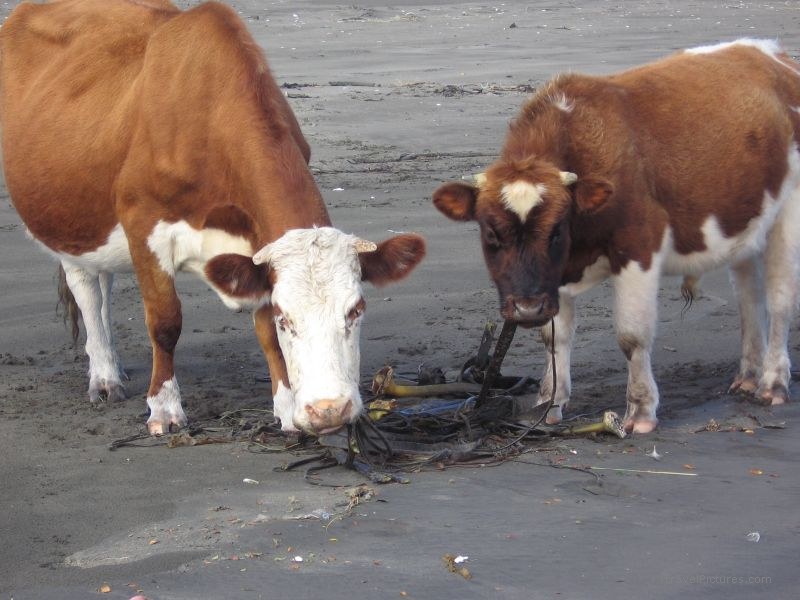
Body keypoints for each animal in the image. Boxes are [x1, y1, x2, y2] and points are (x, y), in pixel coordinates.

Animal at [0, 0, 425, 435]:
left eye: (356, 309)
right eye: (287, 318)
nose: (329, 410)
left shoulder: (256, 244)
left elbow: (262, 330)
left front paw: (286, 407)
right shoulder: (143, 227)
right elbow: (165, 322)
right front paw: (164, 408)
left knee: (103, 283)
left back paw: (113, 366)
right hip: (65, 219)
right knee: (85, 287)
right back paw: (103, 375)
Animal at [433, 39, 800, 434]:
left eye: (557, 230)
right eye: (490, 232)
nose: (527, 308)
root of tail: (772, 55)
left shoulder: (639, 245)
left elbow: (632, 335)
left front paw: (640, 411)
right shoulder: (555, 279)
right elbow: (554, 338)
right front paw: (549, 404)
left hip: (789, 213)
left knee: (779, 301)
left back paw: (772, 383)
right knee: (749, 298)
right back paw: (747, 376)